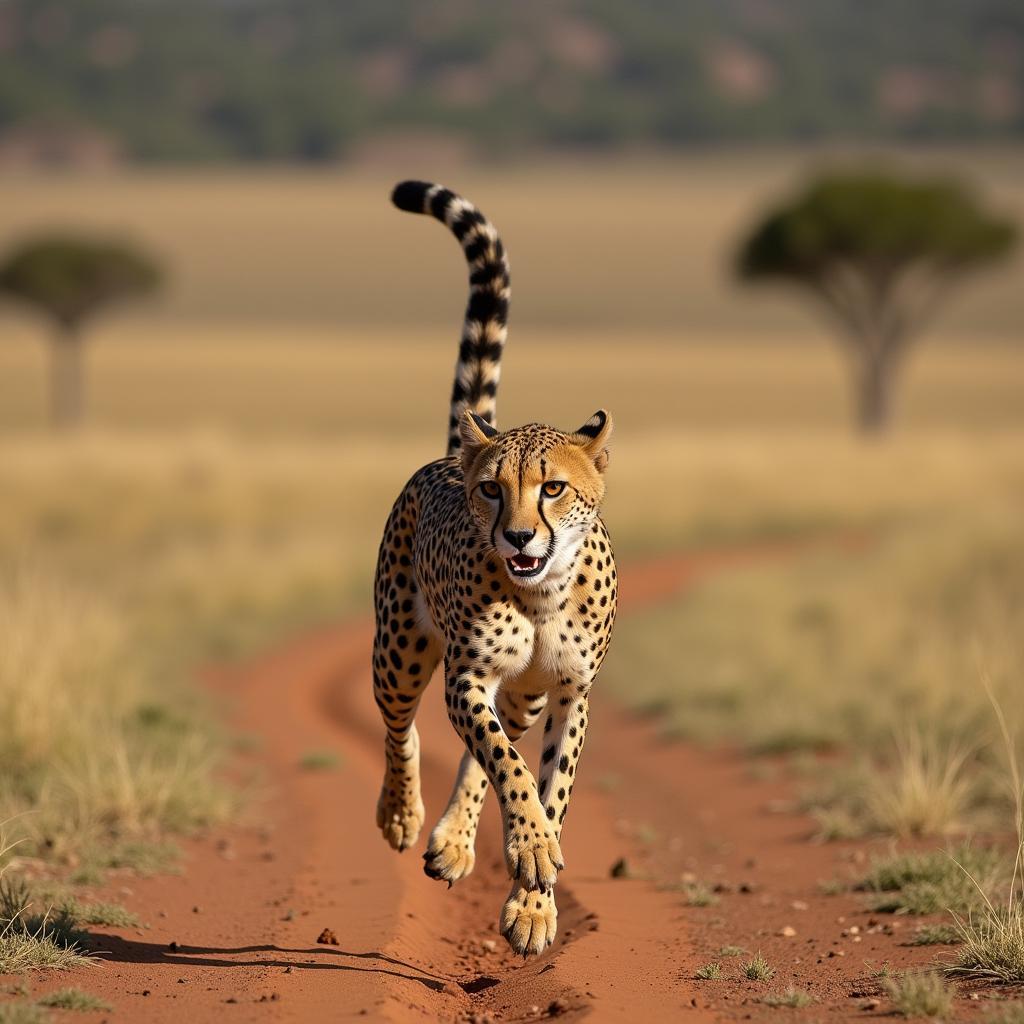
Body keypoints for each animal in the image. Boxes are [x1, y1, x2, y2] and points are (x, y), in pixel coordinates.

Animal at [374, 180, 614, 954]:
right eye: (492, 490)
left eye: (553, 488)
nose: (516, 536)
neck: (542, 595)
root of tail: (455, 448)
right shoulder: (466, 675)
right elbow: (507, 764)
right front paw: (531, 848)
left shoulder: (568, 692)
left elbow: (547, 783)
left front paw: (534, 899)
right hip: (400, 649)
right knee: (403, 730)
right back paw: (403, 816)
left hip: (525, 692)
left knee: (491, 739)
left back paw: (455, 839)